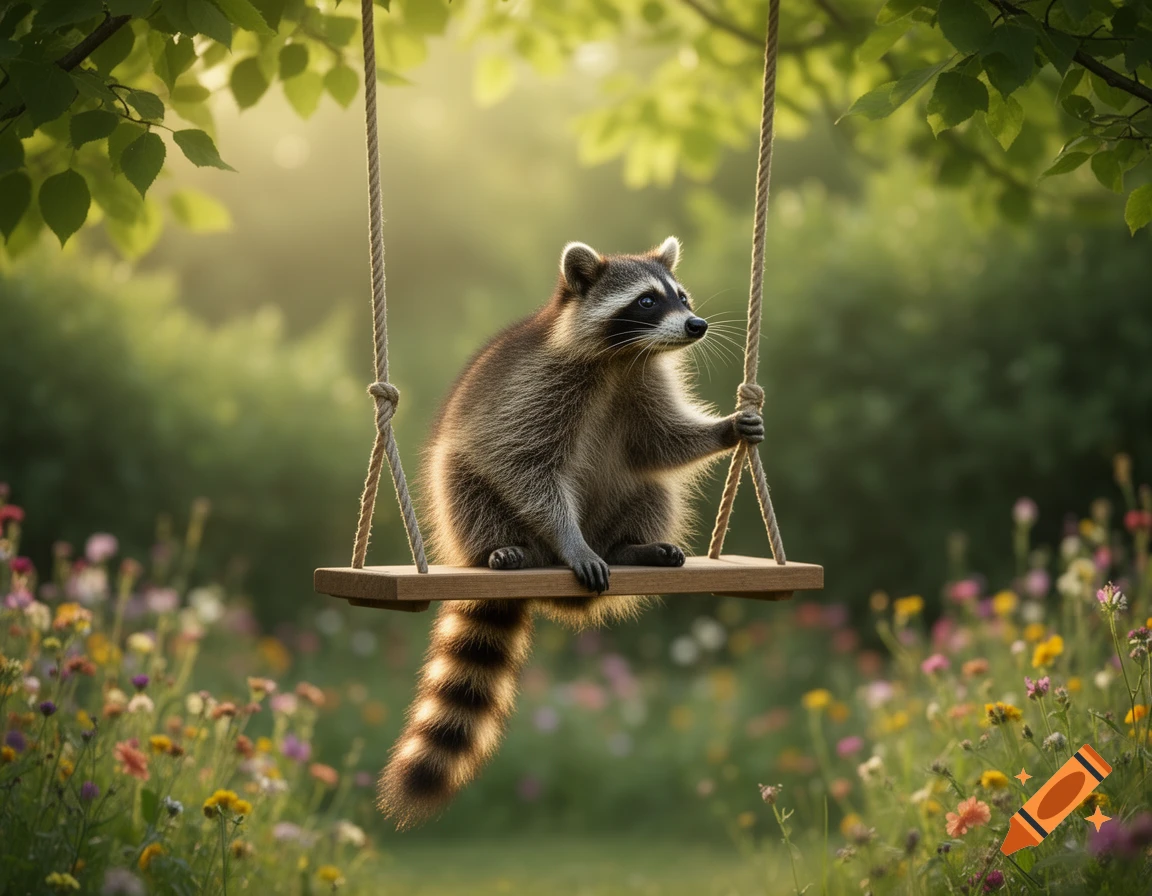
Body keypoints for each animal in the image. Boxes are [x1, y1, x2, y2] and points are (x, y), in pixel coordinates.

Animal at [377, 237, 764, 828]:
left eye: (682, 296)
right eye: (648, 301)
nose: (696, 325)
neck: (622, 359)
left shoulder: (644, 381)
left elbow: (660, 444)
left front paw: (725, 429)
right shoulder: (534, 389)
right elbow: (523, 465)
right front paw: (570, 540)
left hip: (623, 507)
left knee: (651, 486)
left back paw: (631, 546)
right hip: (462, 498)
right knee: (466, 478)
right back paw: (504, 549)